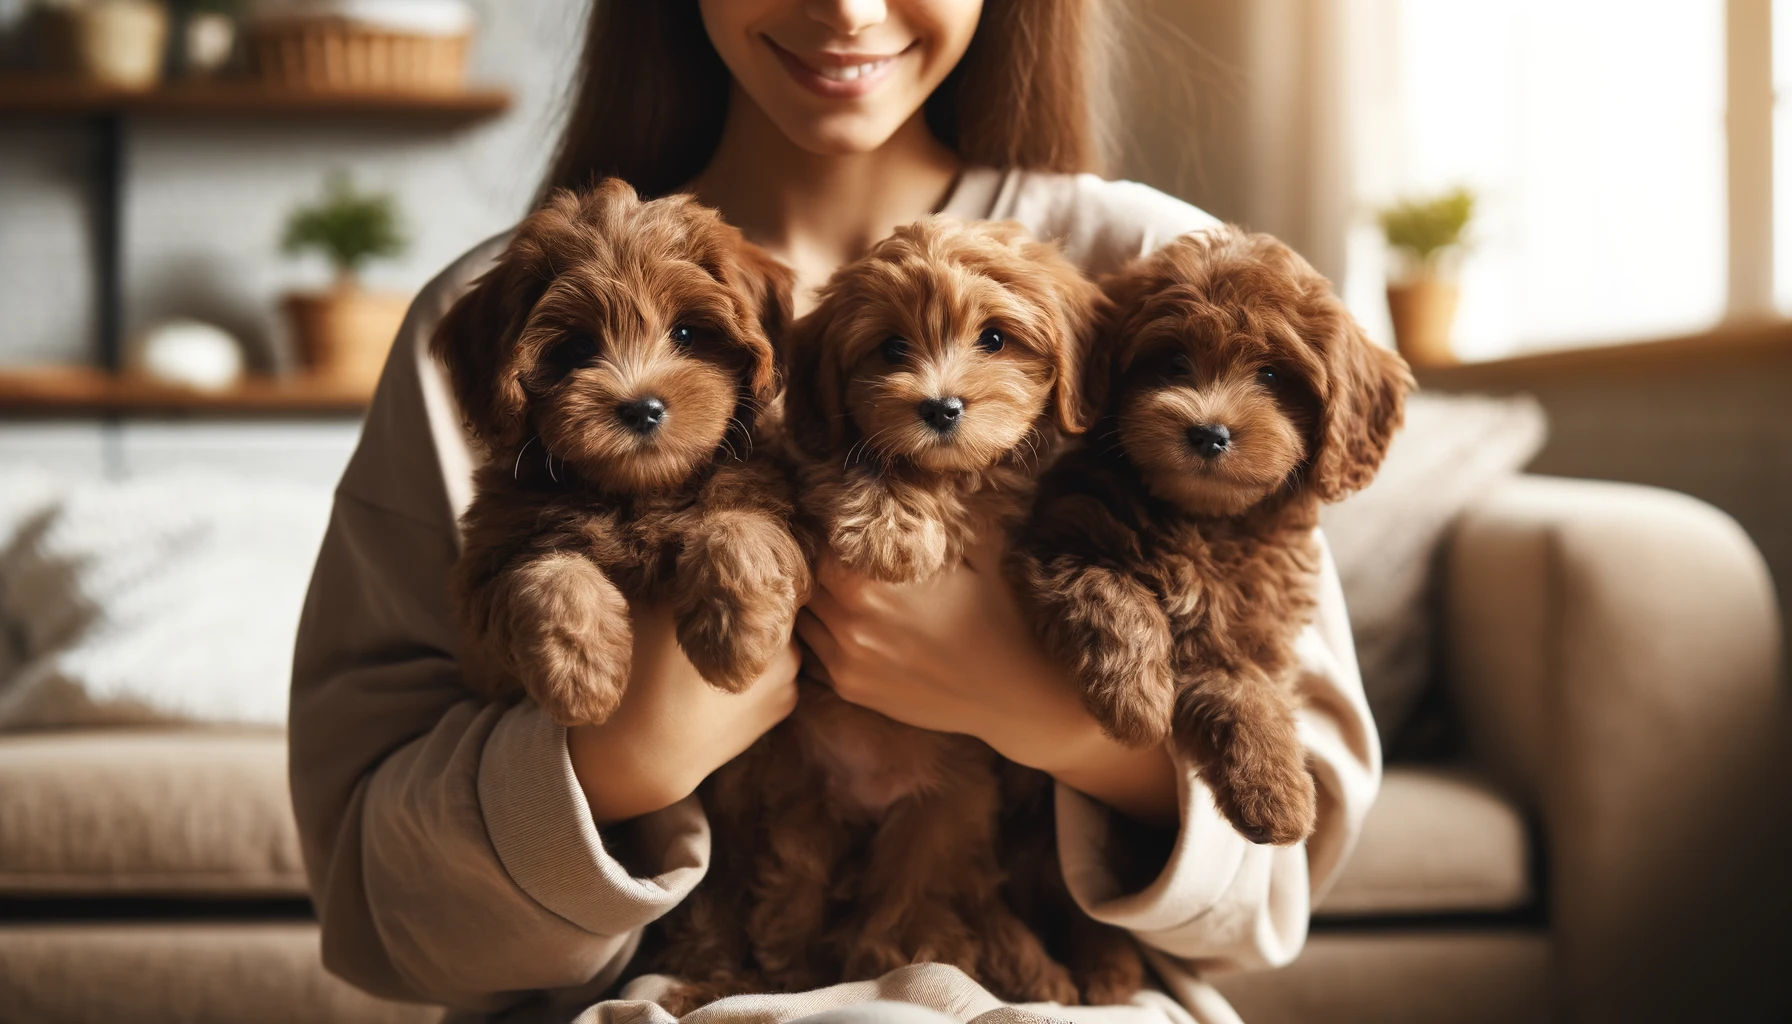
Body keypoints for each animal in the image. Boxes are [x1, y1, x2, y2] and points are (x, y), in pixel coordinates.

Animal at [430, 182, 809, 728]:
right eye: (576, 347)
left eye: (686, 333)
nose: (641, 408)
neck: (637, 494)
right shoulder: (485, 582)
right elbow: (549, 575)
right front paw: (580, 677)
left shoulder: (772, 495)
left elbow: (741, 528)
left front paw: (736, 640)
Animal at [652, 216, 1111, 1011]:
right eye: (892, 348)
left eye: (995, 339)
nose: (940, 408)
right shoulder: (813, 459)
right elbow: (857, 461)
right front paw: (883, 522)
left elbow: (973, 488)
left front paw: (906, 522)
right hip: (801, 806)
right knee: (791, 901)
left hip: (937, 817)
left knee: (906, 900)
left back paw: (913, 952)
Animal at [1017, 229, 1404, 857]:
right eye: (1173, 360)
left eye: (1271, 376)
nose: (1208, 433)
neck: (1206, 521)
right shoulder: (1061, 537)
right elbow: (1110, 593)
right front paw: (1136, 700)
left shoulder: (1251, 631)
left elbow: (1247, 689)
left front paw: (1276, 789)